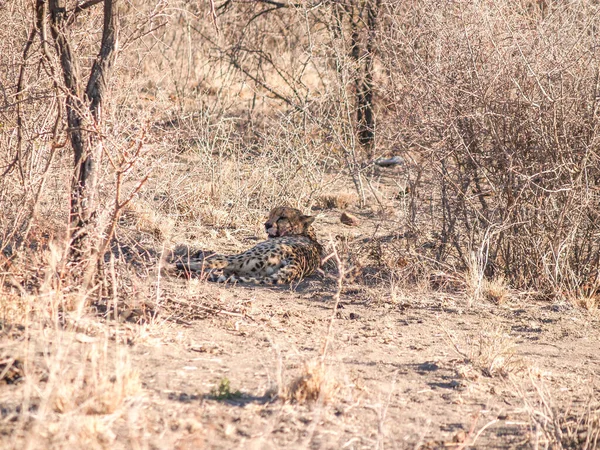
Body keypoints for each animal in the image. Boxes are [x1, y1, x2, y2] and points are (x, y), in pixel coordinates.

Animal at [173, 207, 324, 284]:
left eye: (282, 217)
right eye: (270, 214)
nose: (267, 224)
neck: (306, 232)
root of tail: (296, 262)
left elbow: (211, 256)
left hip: (241, 257)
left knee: (215, 262)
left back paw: (177, 264)